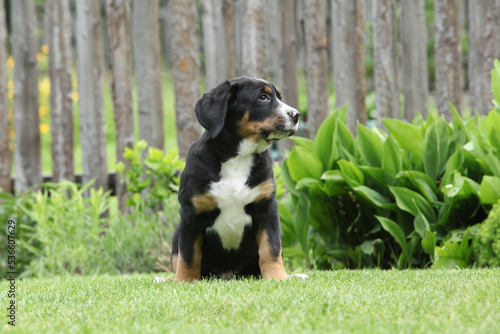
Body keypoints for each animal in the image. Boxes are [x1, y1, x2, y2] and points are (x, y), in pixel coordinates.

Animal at [170, 76, 302, 282]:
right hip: (177, 232)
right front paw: (184, 281)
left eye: (279, 97)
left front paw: (278, 277)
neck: (238, 156)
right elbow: (188, 254)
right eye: (263, 97)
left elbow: (271, 248)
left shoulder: (267, 209)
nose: (296, 115)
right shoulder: (191, 214)